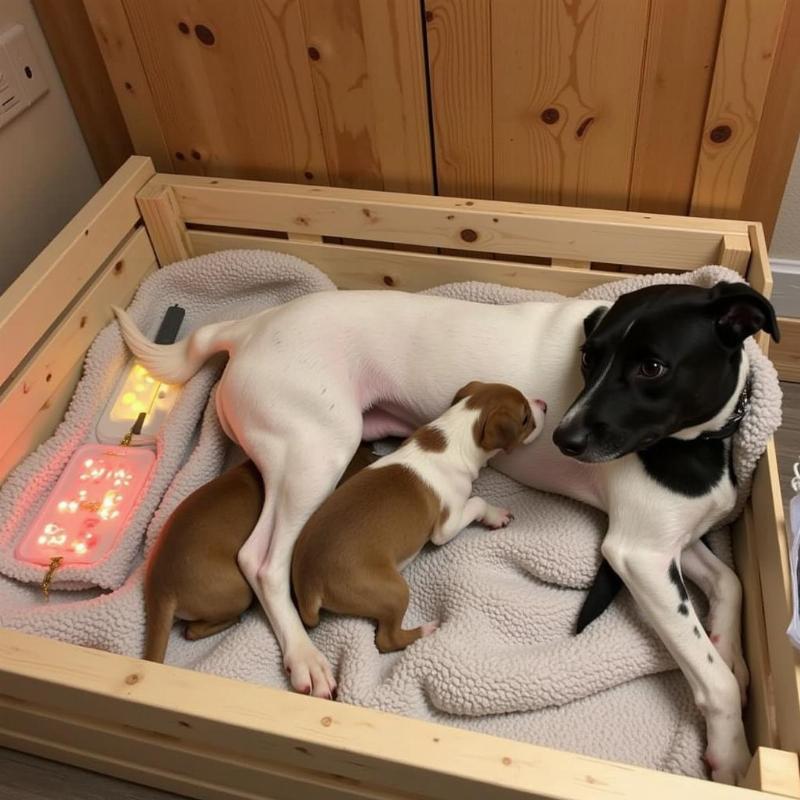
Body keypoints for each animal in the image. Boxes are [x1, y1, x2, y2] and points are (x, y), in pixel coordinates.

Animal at [290, 382, 548, 656]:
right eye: (525, 418)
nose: (544, 404)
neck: (455, 433)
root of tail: (308, 584)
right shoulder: (446, 525)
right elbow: (477, 502)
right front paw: (495, 514)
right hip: (391, 589)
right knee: (387, 640)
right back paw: (425, 631)